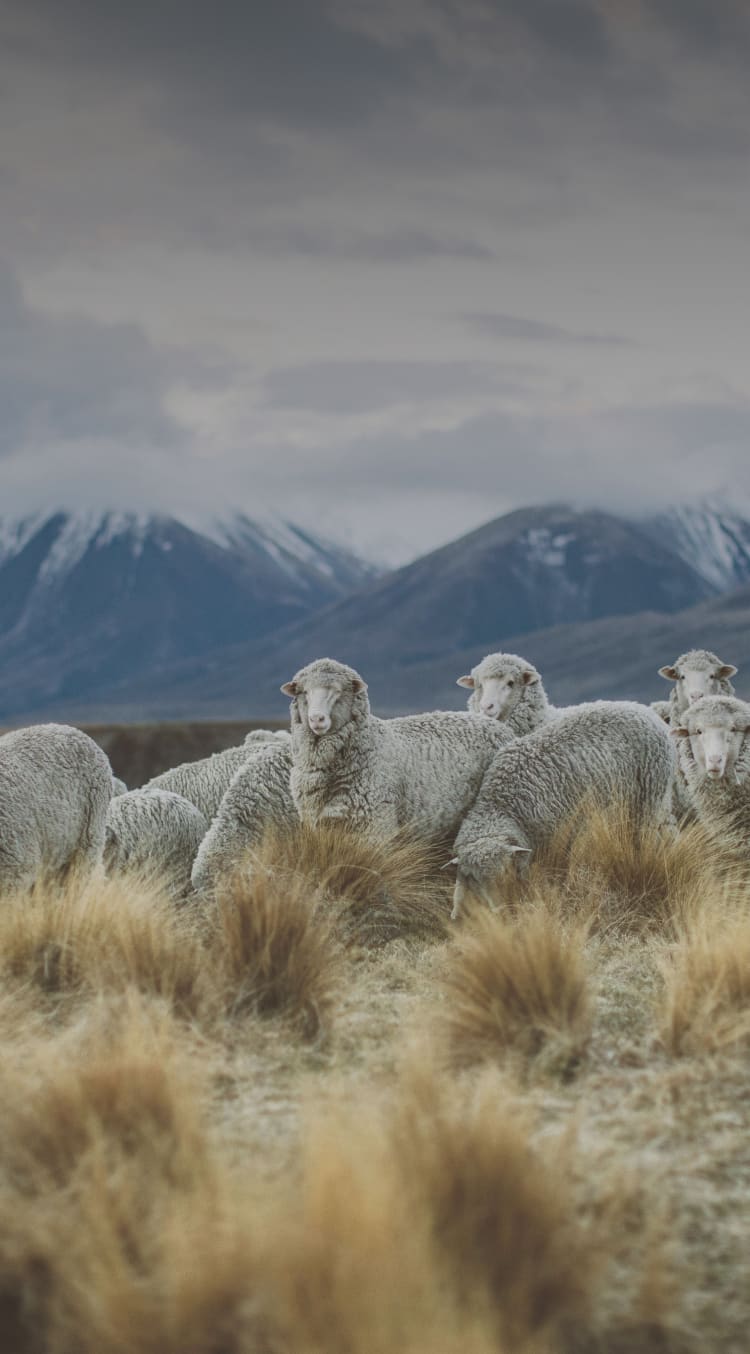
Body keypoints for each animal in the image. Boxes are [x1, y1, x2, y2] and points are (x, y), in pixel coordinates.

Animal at [280, 655, 514, 834]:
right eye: (305, 692)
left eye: (337, 692)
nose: (316, 719)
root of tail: (499, 726)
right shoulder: (317, 823)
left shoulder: (376, 824)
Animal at [449, 698, 671, 920]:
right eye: (473, 878)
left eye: (506, 872)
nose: (499, 912)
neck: (503, 806)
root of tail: (640, 707)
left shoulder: (559, 840)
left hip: (649, 799)